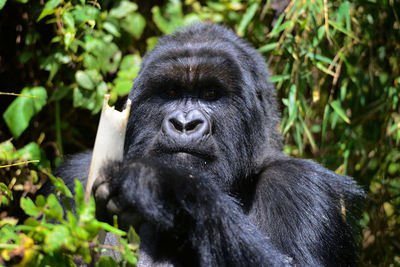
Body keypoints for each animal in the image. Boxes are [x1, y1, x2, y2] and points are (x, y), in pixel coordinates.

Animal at [48, 23, 364, 267]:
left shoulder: (301, 187)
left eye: (211, 93)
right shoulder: (73, 176)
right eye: (171, 92)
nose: (184, 124)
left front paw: (162, 187)